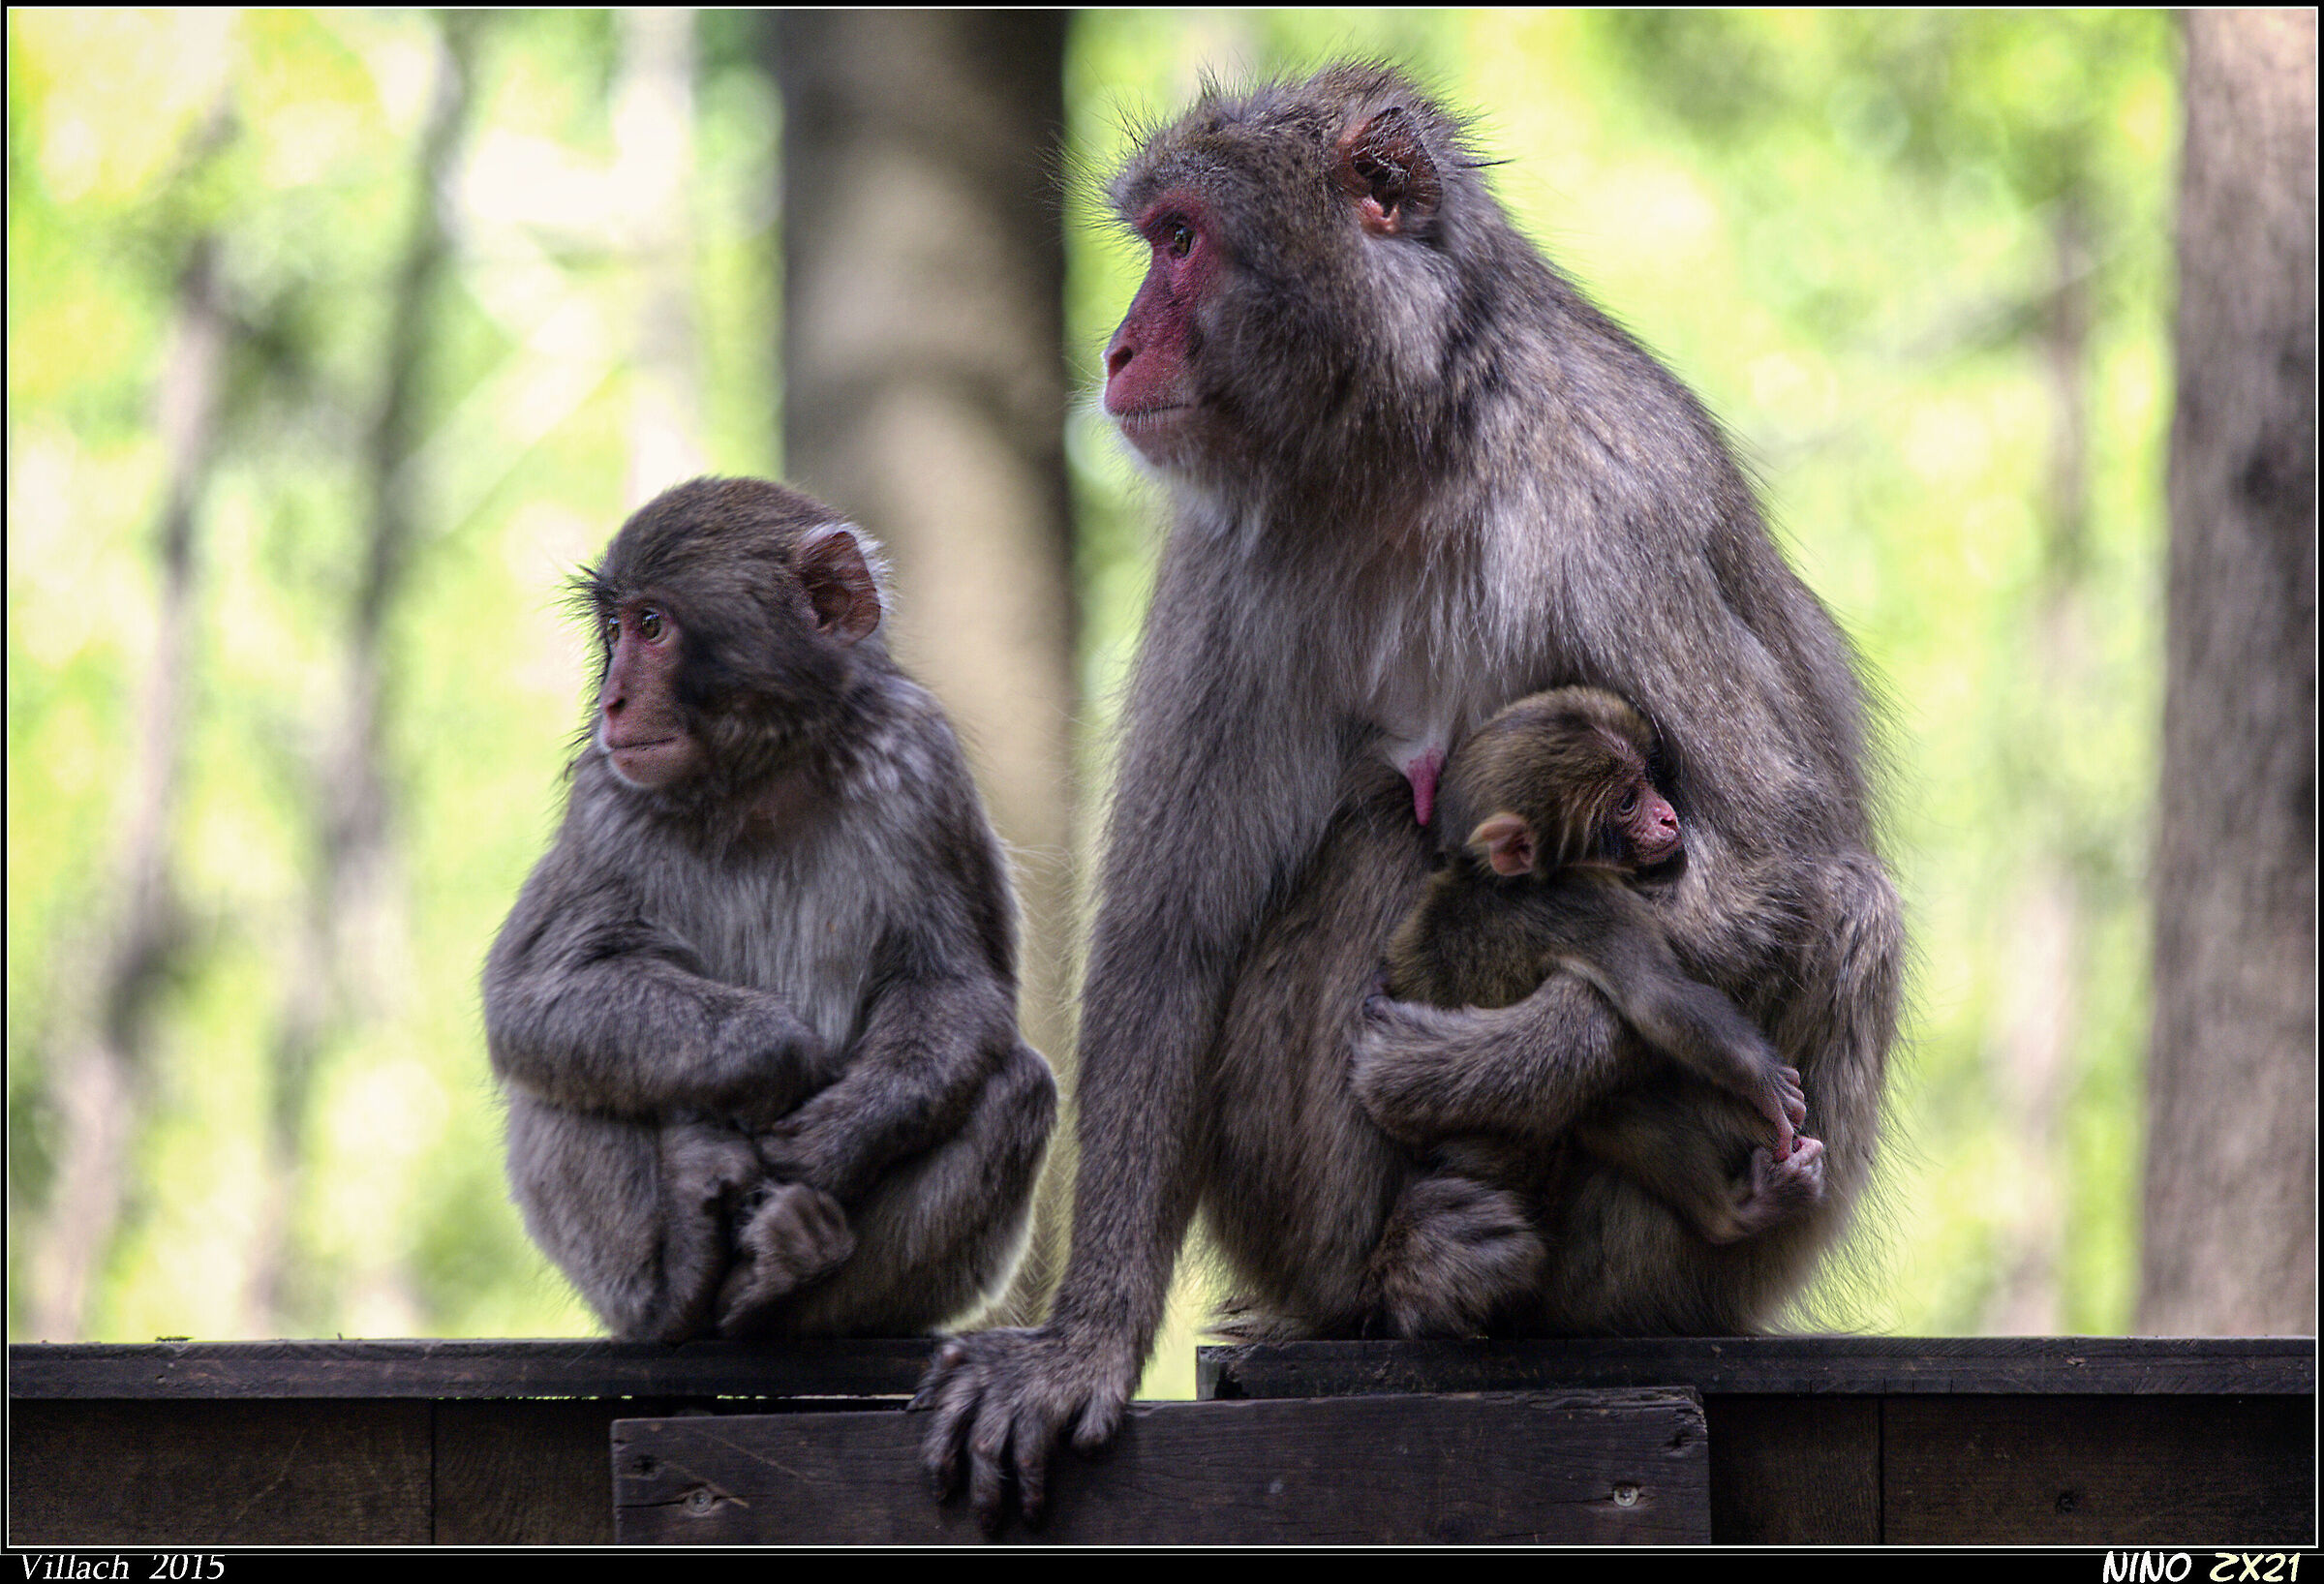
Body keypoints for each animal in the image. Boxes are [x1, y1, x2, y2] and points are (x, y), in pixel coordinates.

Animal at [483, 477, 1056, 1344]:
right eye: (614, 630)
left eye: (651, 626)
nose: (613, 700)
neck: (760, 770)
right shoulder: (606, 799)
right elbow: (534, 995)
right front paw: (776, 1051)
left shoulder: (920, 760)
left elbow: (957, 989)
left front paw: (838, 1136)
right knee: (561, 1069)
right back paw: (679, 1275)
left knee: (1017, 1087)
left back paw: (790, 1273)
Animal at [1368, 686, 1826, 1336]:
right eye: (1628, 801)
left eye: (1648, 780)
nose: (1668, 816)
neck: (1492, 879)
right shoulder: (1591, 899)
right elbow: (1658, 998)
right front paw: (1763, 1081)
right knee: (1614, 1106)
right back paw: (1737, 1213)